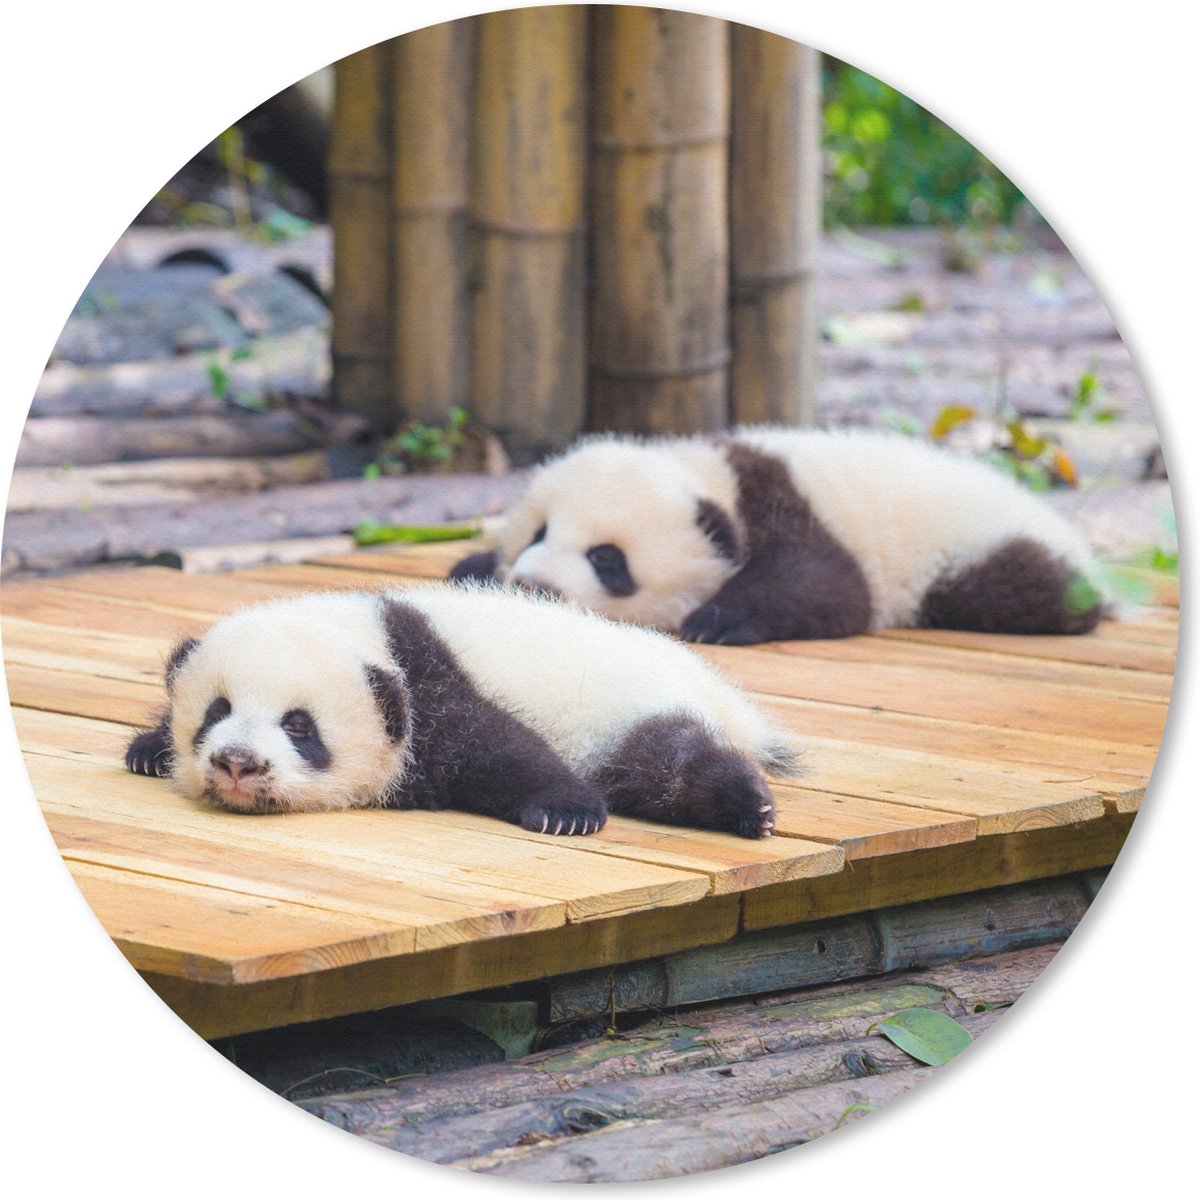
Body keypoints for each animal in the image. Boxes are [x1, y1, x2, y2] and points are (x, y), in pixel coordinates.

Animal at [124, 583, 799, 839]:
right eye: (216, 712)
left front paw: (566, 812)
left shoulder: (434, 687)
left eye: (298, 726)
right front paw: (149, 750)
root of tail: (719, 691)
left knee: (669, 763)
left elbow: (504, 749)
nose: (239, 763)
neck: (368, 631)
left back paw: (750, 806)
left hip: (632, 707)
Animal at [450, 427, 1107, 644]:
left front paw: (718, 620)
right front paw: (472, 568)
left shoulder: (793, 513)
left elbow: (829, 587)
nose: (534, 584)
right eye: (538, 532)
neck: (715, 476)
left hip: (977, 552)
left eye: (607, 560)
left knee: (1022, 587)